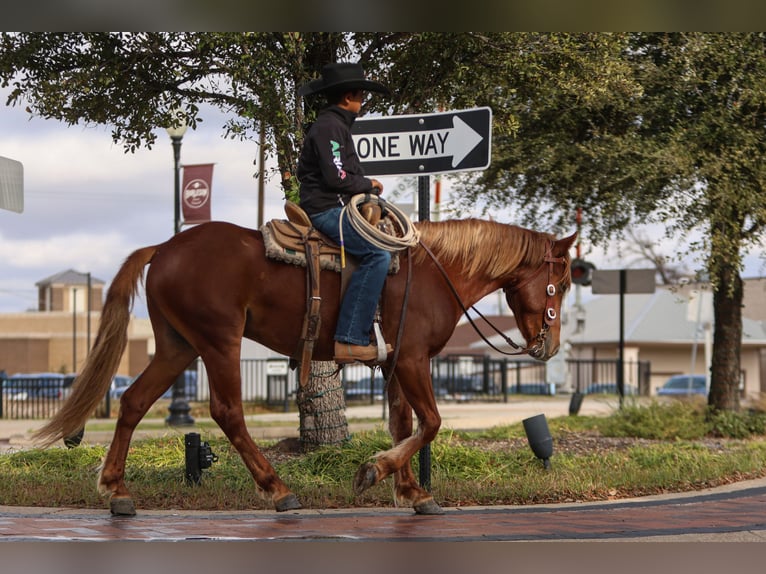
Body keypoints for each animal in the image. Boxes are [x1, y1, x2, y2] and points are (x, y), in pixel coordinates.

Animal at [36, 218, 576, 520]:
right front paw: (375, 471)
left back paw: (116, 490)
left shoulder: (396, 362)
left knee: (132, 402)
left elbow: (404, 423)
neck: (434, 273)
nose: (550, 346)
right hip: (217, 341)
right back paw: (278, 490)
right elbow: (431, 423)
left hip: (177, 346)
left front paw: (410, 490)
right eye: (564, 282)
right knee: (228, 412)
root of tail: (164, 248)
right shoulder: (412, 358)